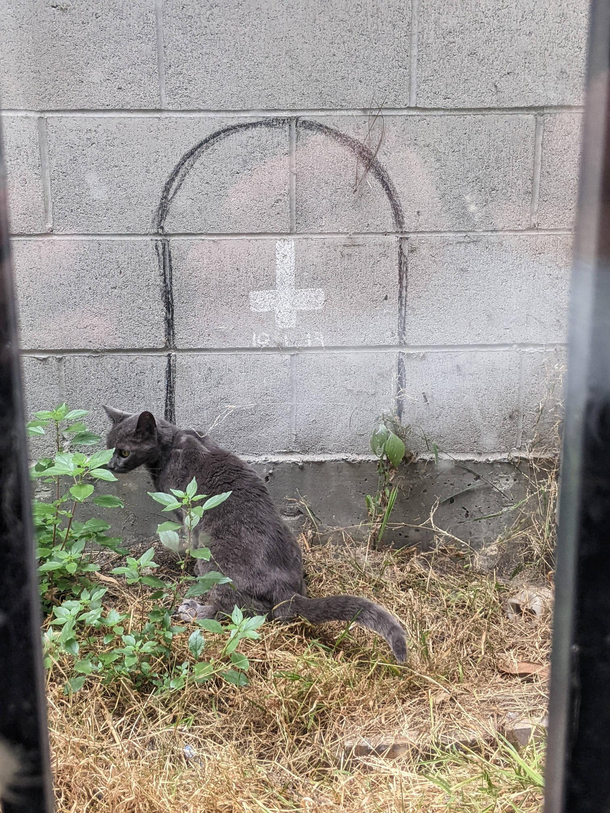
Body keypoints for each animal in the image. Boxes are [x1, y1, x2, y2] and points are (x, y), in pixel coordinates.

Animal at [102, 406, 406, 660]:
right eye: (109, 449)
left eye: (124, 452)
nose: (110, 465)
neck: (170, 445)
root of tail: (286, 591)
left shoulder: (185, 510)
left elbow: (189, 542)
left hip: (216, 562)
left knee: (234, 610)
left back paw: (192, 610)